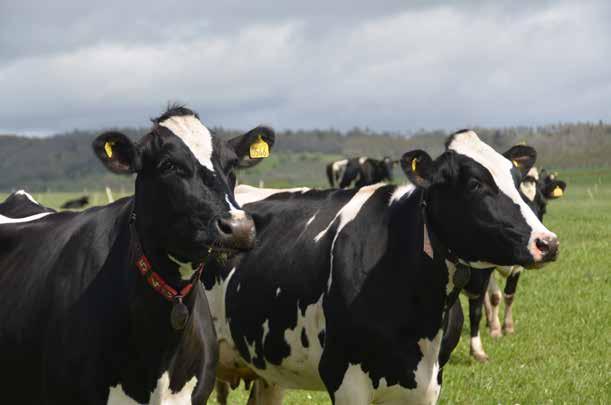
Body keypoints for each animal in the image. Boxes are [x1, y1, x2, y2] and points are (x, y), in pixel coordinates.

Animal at [204, 130, 560, 404]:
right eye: (474, 183)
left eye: (517, 179)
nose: (547, 242)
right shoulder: (345, 379)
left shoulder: (428, 385)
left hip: (267, 371)